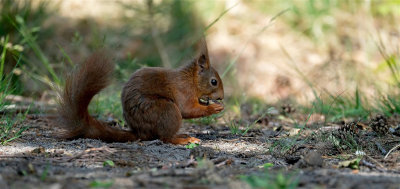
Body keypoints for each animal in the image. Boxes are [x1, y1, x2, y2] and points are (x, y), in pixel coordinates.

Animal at [56, 40, 225, 145]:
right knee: (165, 138)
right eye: (214, 82)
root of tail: (140, 132)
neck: (191, 80)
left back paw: (182, 135)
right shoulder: (183, 90)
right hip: (166, 110)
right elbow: (187, 109)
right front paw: (214, 108)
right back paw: (183, 140)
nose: (222, 97)